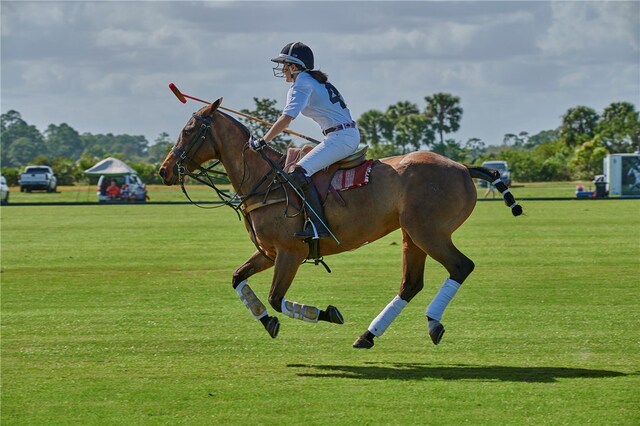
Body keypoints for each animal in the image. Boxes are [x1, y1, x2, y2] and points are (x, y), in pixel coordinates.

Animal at [159, 100, 520, 350]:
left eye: (189, 130)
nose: (164, 170)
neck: (263, 180)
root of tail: (463, 168)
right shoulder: (269, 252)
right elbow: (237, 278)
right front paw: (267, 321)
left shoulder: (290, 252)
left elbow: (276, 297)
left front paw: (325, 314)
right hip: (412, 235)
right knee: (410, 284)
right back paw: (368, 335)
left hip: (429, 232)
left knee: (461, 266)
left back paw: (432, 323)